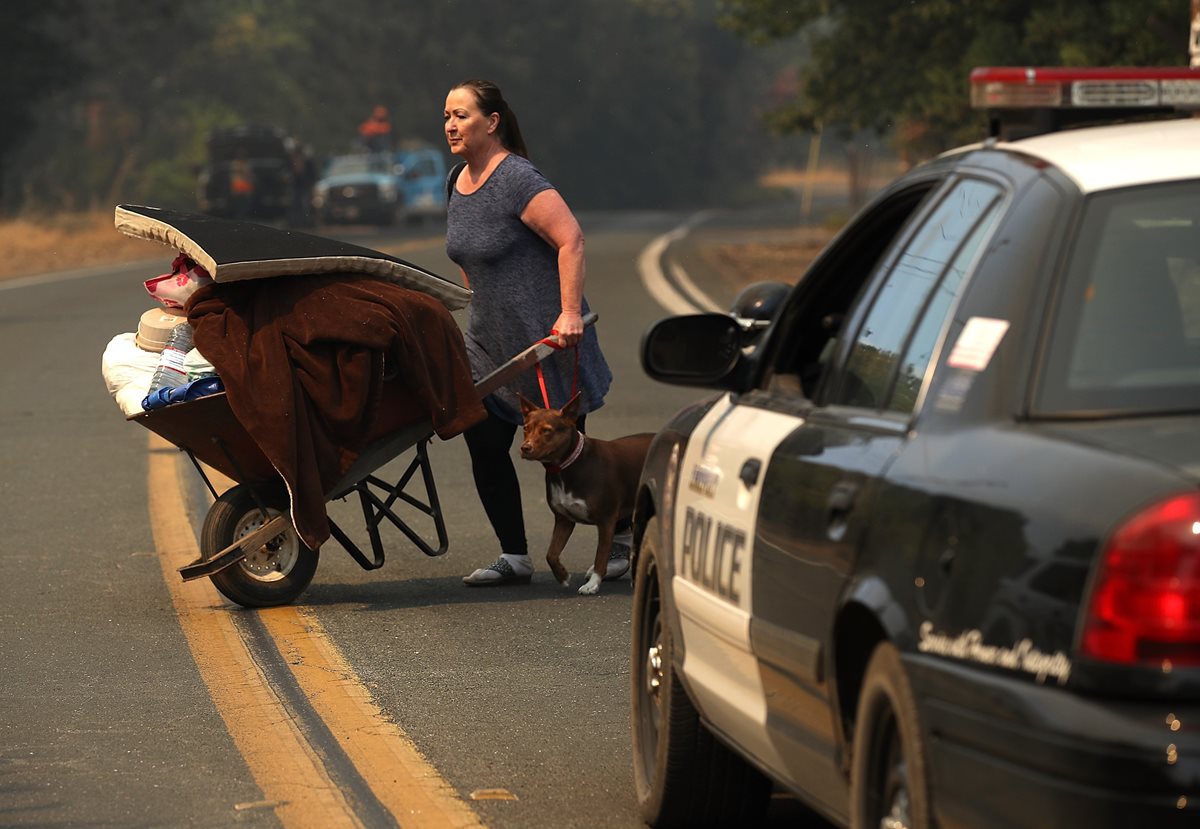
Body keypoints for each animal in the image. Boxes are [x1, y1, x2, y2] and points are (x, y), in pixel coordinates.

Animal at [513, 393, 648, 592]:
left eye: (547, 430)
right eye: (526, 428)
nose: (525, 448)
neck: (567, 465)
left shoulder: (606, 521)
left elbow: (600, 556)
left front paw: (593, 584)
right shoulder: (564, 520)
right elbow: (551, 554)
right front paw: (562, 576)